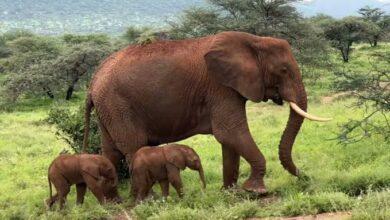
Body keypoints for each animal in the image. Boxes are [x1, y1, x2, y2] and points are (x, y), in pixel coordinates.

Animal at [82, 31, 330, 194]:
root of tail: (93, 82)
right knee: (134, 147)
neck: (254, 40)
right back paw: (148, 199)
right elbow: (230, 132)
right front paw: (256, 191)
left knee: (110, 152)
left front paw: (230, 192)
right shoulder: (220, 87)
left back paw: (112, 202)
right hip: (118, 104)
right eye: (284, 70)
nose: (305, 178)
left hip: (109, 108)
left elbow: (229, 141)